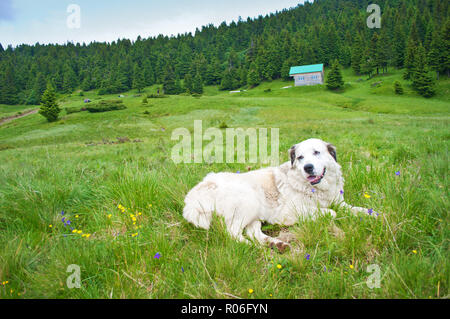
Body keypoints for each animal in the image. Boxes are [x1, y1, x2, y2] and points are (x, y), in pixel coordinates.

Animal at [182, 139, 372, 251]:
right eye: (300, 157)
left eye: (317, 152)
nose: (308, 167)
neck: (318, 189)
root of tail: (195, 192)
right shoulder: (290, 212)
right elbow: (332, 213)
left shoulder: (339, 202)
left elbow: (355, 209)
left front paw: (372, 214)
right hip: (248, 201)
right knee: (232, 232)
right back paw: (251, 247)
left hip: (255, 213)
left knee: (253, 232)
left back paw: (276, 244)